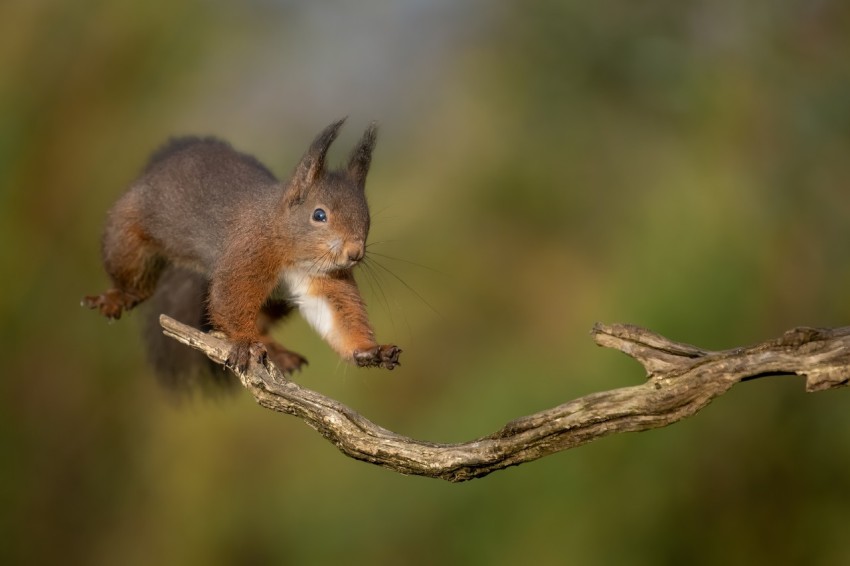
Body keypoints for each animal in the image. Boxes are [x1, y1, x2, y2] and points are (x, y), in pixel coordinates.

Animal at [83, 118, 401, 382]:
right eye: (319, 215)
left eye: (367, 217)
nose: (354, 253)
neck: (292, 252)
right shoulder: (248, 254)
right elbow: (230, 299)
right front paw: (245, 344)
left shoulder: (323, 280)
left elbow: (337, 317)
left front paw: (368, 350)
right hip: (129, 233)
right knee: (135, 279)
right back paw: (120, 297)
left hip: (277, 304)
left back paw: (277, 352)